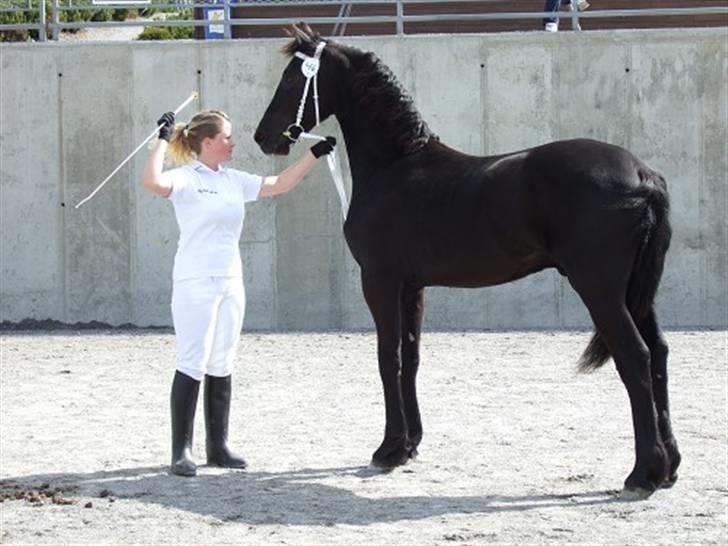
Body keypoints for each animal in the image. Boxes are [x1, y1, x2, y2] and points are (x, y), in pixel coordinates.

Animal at [255, 23, 676, 496]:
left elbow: (388, 357)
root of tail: (642, 174)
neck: (395, 166)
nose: (263, 136)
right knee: (659, 353)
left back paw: (642, 474)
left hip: (600, 290)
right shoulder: (412, 286)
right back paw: (670, 466)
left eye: (293, 78)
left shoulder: (379, 280)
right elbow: (411, 357)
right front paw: (410, 445)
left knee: (636, 357)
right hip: (635, 291)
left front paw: (387, 450)